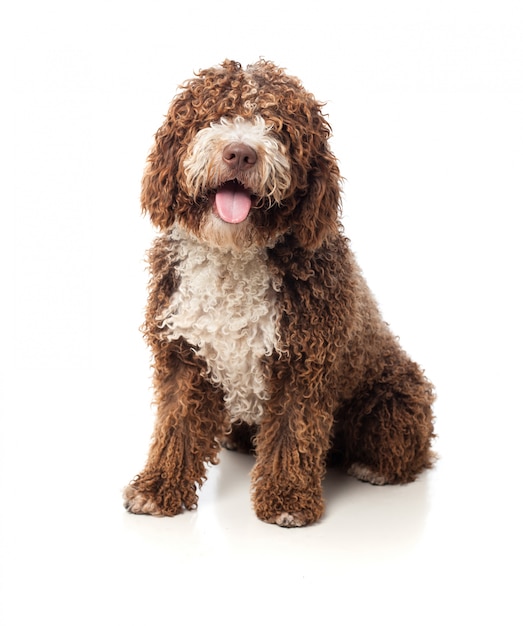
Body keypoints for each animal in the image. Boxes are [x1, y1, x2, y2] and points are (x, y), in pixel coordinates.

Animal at [125, 59, 436, 528]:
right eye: (217, 113)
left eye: (280, 128)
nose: (240, 153)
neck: (234, 255)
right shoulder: (183, 354)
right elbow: (176, 427)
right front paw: (157, 488)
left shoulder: (302, 364)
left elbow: (293, 433)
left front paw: (287, 499)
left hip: (394, 399)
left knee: (408, 450)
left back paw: (375, 467)